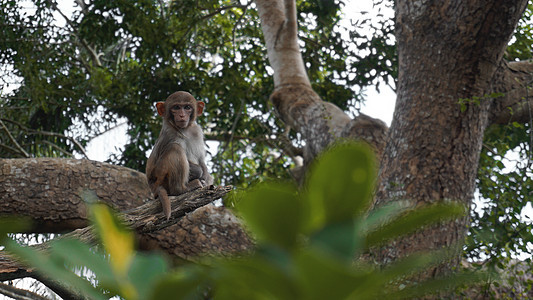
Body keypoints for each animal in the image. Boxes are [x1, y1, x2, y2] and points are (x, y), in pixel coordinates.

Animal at [145, 90, 214, 219]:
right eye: (176, 107)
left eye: (187, 107)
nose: (182, 115)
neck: (184, 129)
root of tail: (153, 188)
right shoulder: (170, 134)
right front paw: (198, 174)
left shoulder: (196, 131)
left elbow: (201, 160)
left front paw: (205, 178)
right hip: (160, 179)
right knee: (175, 148)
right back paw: (182, 189)